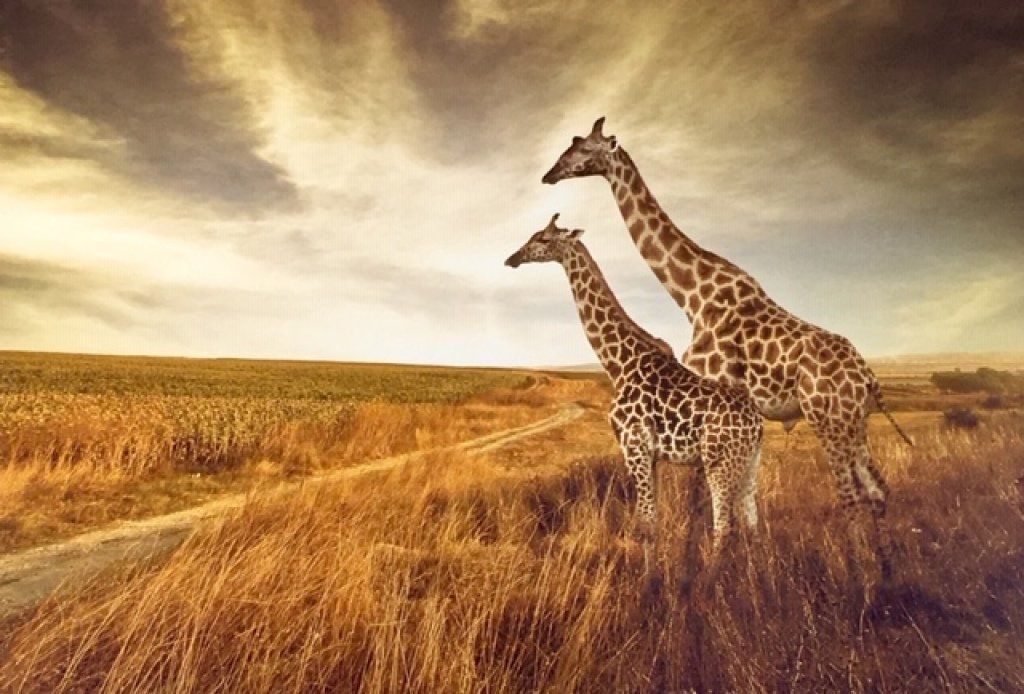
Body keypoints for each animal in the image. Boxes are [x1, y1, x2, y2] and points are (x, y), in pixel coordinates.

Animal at [505, 213, 764, 585]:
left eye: (542, 238)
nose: (512, 258)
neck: (618, 363)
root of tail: (758, 425)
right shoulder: (651, 454)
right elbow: (651, 518)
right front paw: (653, 574)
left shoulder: (634, 444)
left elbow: (645, 523)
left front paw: (647, 583)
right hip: (750, 463)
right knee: (753, 523)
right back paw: (757, 577)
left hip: (720, 463)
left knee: (724, 526)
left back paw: (710, 582)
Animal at [541, 118, 913, 578]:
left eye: (582, 147)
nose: (549, 174)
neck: (692, 294)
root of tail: (867, 376)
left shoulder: (710, 392)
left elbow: (702, 501)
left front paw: (696, 568)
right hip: (855, 421)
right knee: (877, 490)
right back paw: (886, 569)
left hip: (828, 419)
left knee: (850, 495)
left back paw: (859, 576)